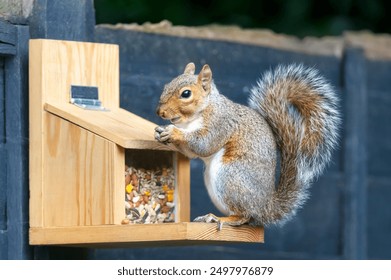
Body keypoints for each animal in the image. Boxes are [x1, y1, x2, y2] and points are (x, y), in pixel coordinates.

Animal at [155, 63, 338, 230]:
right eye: (165, 86)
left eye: (186, 94)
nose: (160, 112)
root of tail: (266, 207)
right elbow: (192, 152)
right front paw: (161, 133)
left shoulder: (221, 122)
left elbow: (204, 143)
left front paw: (173, 132)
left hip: (230, 176)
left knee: (244, 216)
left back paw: (217, 218)